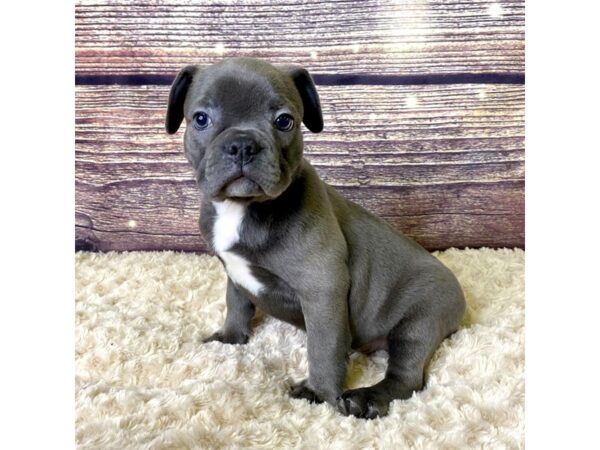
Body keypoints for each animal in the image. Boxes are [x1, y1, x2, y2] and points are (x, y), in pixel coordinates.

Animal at [166, 57, 466, 418]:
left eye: (284, 121)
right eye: (200, 119)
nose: (242, 145)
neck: (242, 208)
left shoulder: (322, 291)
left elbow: (323, 348)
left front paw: (318, 392)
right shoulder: (233, 272)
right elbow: (236, 304)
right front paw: (230, 337)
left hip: (421, 320)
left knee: (407, 376)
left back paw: (365, 399)